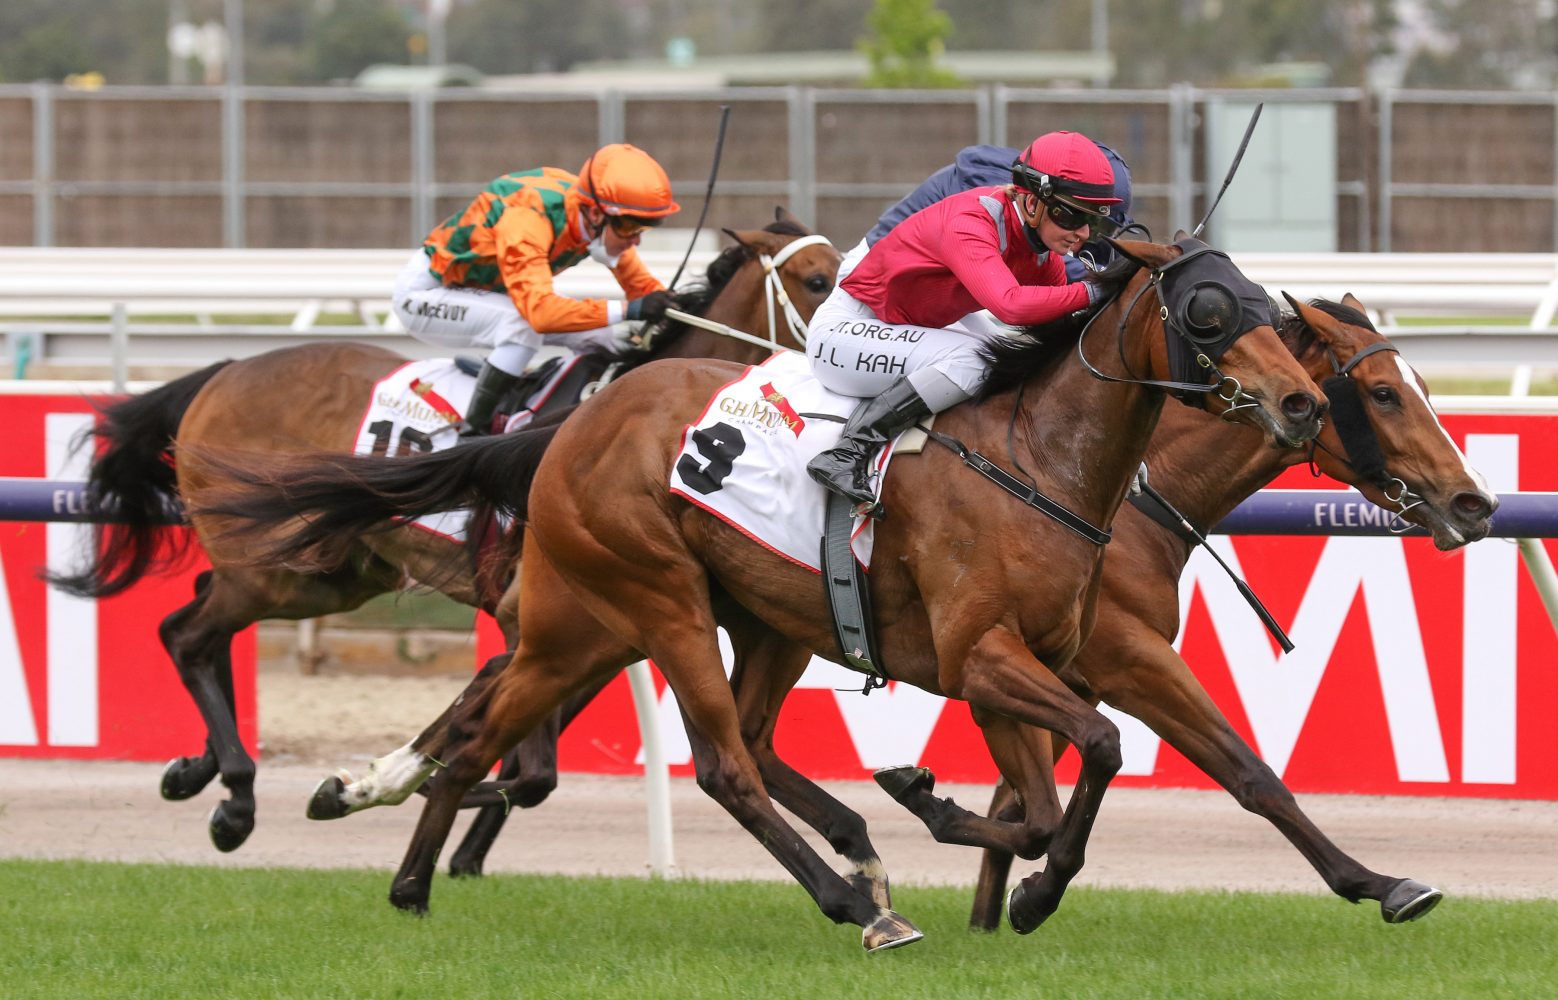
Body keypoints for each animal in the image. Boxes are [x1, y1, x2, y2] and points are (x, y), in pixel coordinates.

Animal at [44, 211, 841, 854]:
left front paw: (381, 788)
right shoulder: (535, 614)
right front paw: (389, 788)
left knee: (199, 625)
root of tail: (228, 368)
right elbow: (526, 768)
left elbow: (517, 758)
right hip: (275, 569)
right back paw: (235, 796)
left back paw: (199, 770)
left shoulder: (594, 629)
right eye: (817, 279)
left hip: (324, 575)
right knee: (187, 634)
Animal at [197, 236, 1328, 948]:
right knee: (723, 765)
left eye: (1273, 308)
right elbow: (1092, 751)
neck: (1036, 460)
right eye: (1209, 311)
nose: (1303, 402)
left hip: (629, 623)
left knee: (496, 731)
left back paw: (408, 878)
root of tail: (570, 428)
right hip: (653, 596)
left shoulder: (1022, 662)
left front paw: (975, 845)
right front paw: (977, 848)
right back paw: (856, 904)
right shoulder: (982, 656)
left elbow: (1051, 801)